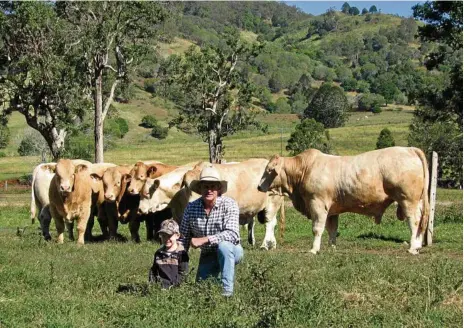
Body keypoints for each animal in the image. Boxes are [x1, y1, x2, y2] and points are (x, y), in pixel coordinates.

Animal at [260, 147, 430, 255]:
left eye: (268, 170)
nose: (258, 186)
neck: (304, 169)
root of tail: (410, 149)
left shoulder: (317, 204)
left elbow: (317, 228)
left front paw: (314, 249)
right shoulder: (332, 210)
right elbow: (332, 229)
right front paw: (331, 247)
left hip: (408, 200)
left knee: (414, 221)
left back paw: (412, 248)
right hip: (418, 201)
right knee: (421, 221)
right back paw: (418, 246)